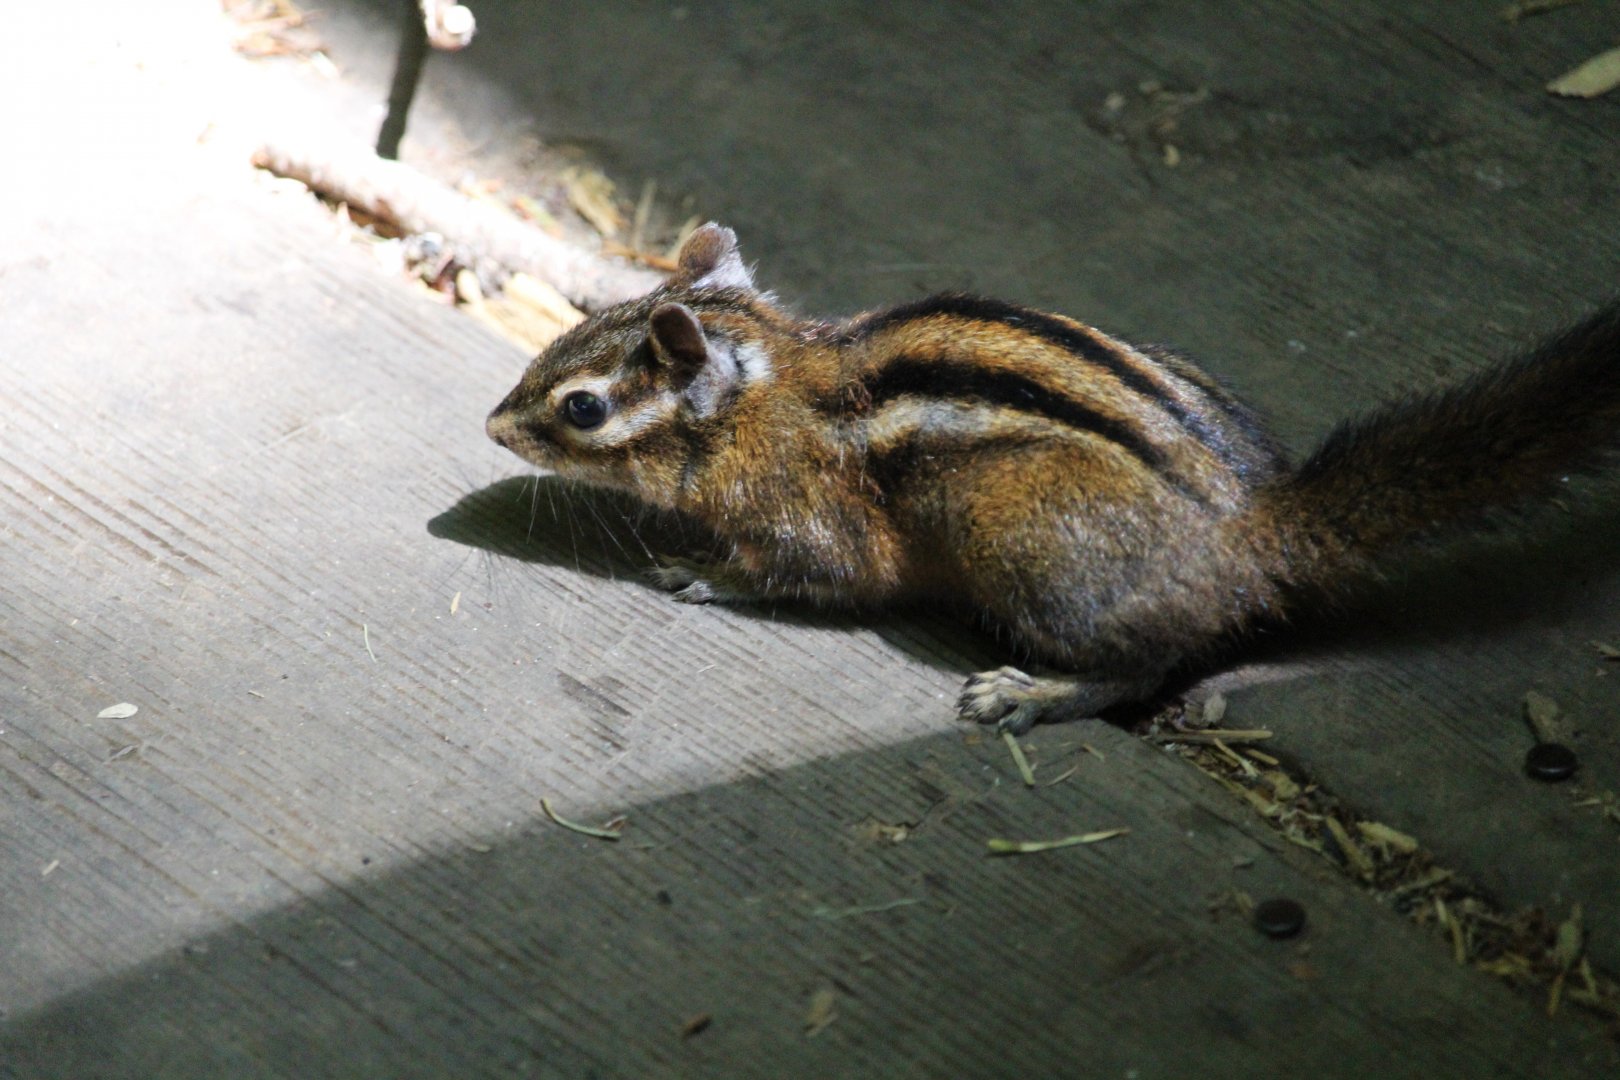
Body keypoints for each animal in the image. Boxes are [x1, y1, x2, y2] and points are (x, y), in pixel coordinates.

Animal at [486, 223, 1620, 734]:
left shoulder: (814, 516)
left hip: (1024, 542)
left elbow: (815, 573)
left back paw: (1031, 690)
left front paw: (704, 573)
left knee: (1148, 666)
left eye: (582, 407)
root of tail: (1262, 528)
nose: (494, 426)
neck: (764, 391)